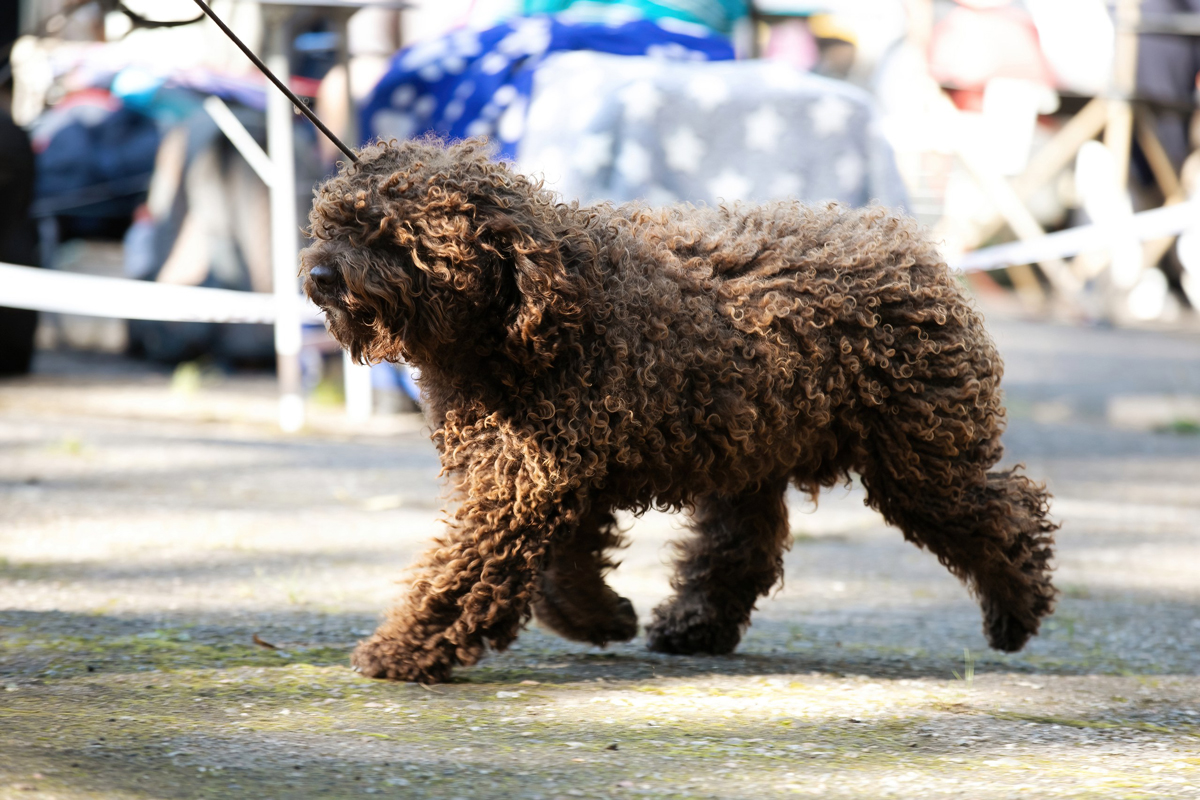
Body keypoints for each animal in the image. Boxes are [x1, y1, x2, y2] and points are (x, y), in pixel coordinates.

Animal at [302, 136, 1060, 681]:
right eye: (333, 223)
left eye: (394, 236)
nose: (318, 273)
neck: (522, 315)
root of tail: (912, 250)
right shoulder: (554, 473)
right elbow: (561, 567)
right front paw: (600, 618)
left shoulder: (525, 482)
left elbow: (467, 573)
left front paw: (403, 649)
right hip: (752, 449)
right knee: (745, 548)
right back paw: (694, 626)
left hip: (918, 458)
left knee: (1005, 515)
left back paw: (1017, 612)